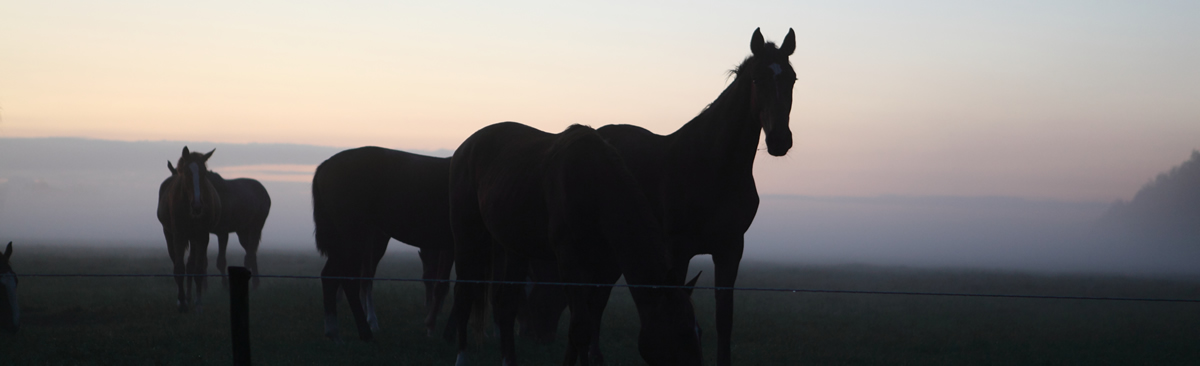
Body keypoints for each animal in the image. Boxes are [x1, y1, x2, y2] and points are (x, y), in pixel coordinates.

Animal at [157, 145, 223, 309]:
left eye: (204, 173)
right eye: (187, 173)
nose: (197, 205)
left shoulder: (202, 236)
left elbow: (197, 268)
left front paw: (198, 303)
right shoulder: (178, 235)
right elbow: (179, 268)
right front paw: (181, 302)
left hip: (193, 238)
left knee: (191, 264)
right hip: (169, 234)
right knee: (178, 261)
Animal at [312, 145, 456, 338]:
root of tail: (325, 165)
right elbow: (445, 285)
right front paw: (435, 328)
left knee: (336, 277)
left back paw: (336, 331)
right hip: (354, 238)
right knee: (349, 279)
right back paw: (363, 331)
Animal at [446, 122, 700, 364]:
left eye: (696, 332)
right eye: (682, 333)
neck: (594, 186)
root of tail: (464, 148)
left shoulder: (601, 267)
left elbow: (583, 326)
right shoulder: (569, 260)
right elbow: (581, 330)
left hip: (514, 249)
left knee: (505, 305)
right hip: (468, 237)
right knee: (463, 296)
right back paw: (461, 358)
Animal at [585, 27, 792, 362]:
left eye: (792, 78)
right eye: (757, 78)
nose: (779, 141)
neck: (713, 166)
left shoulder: (730, 250)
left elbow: (724, 321)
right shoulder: (678, 251)